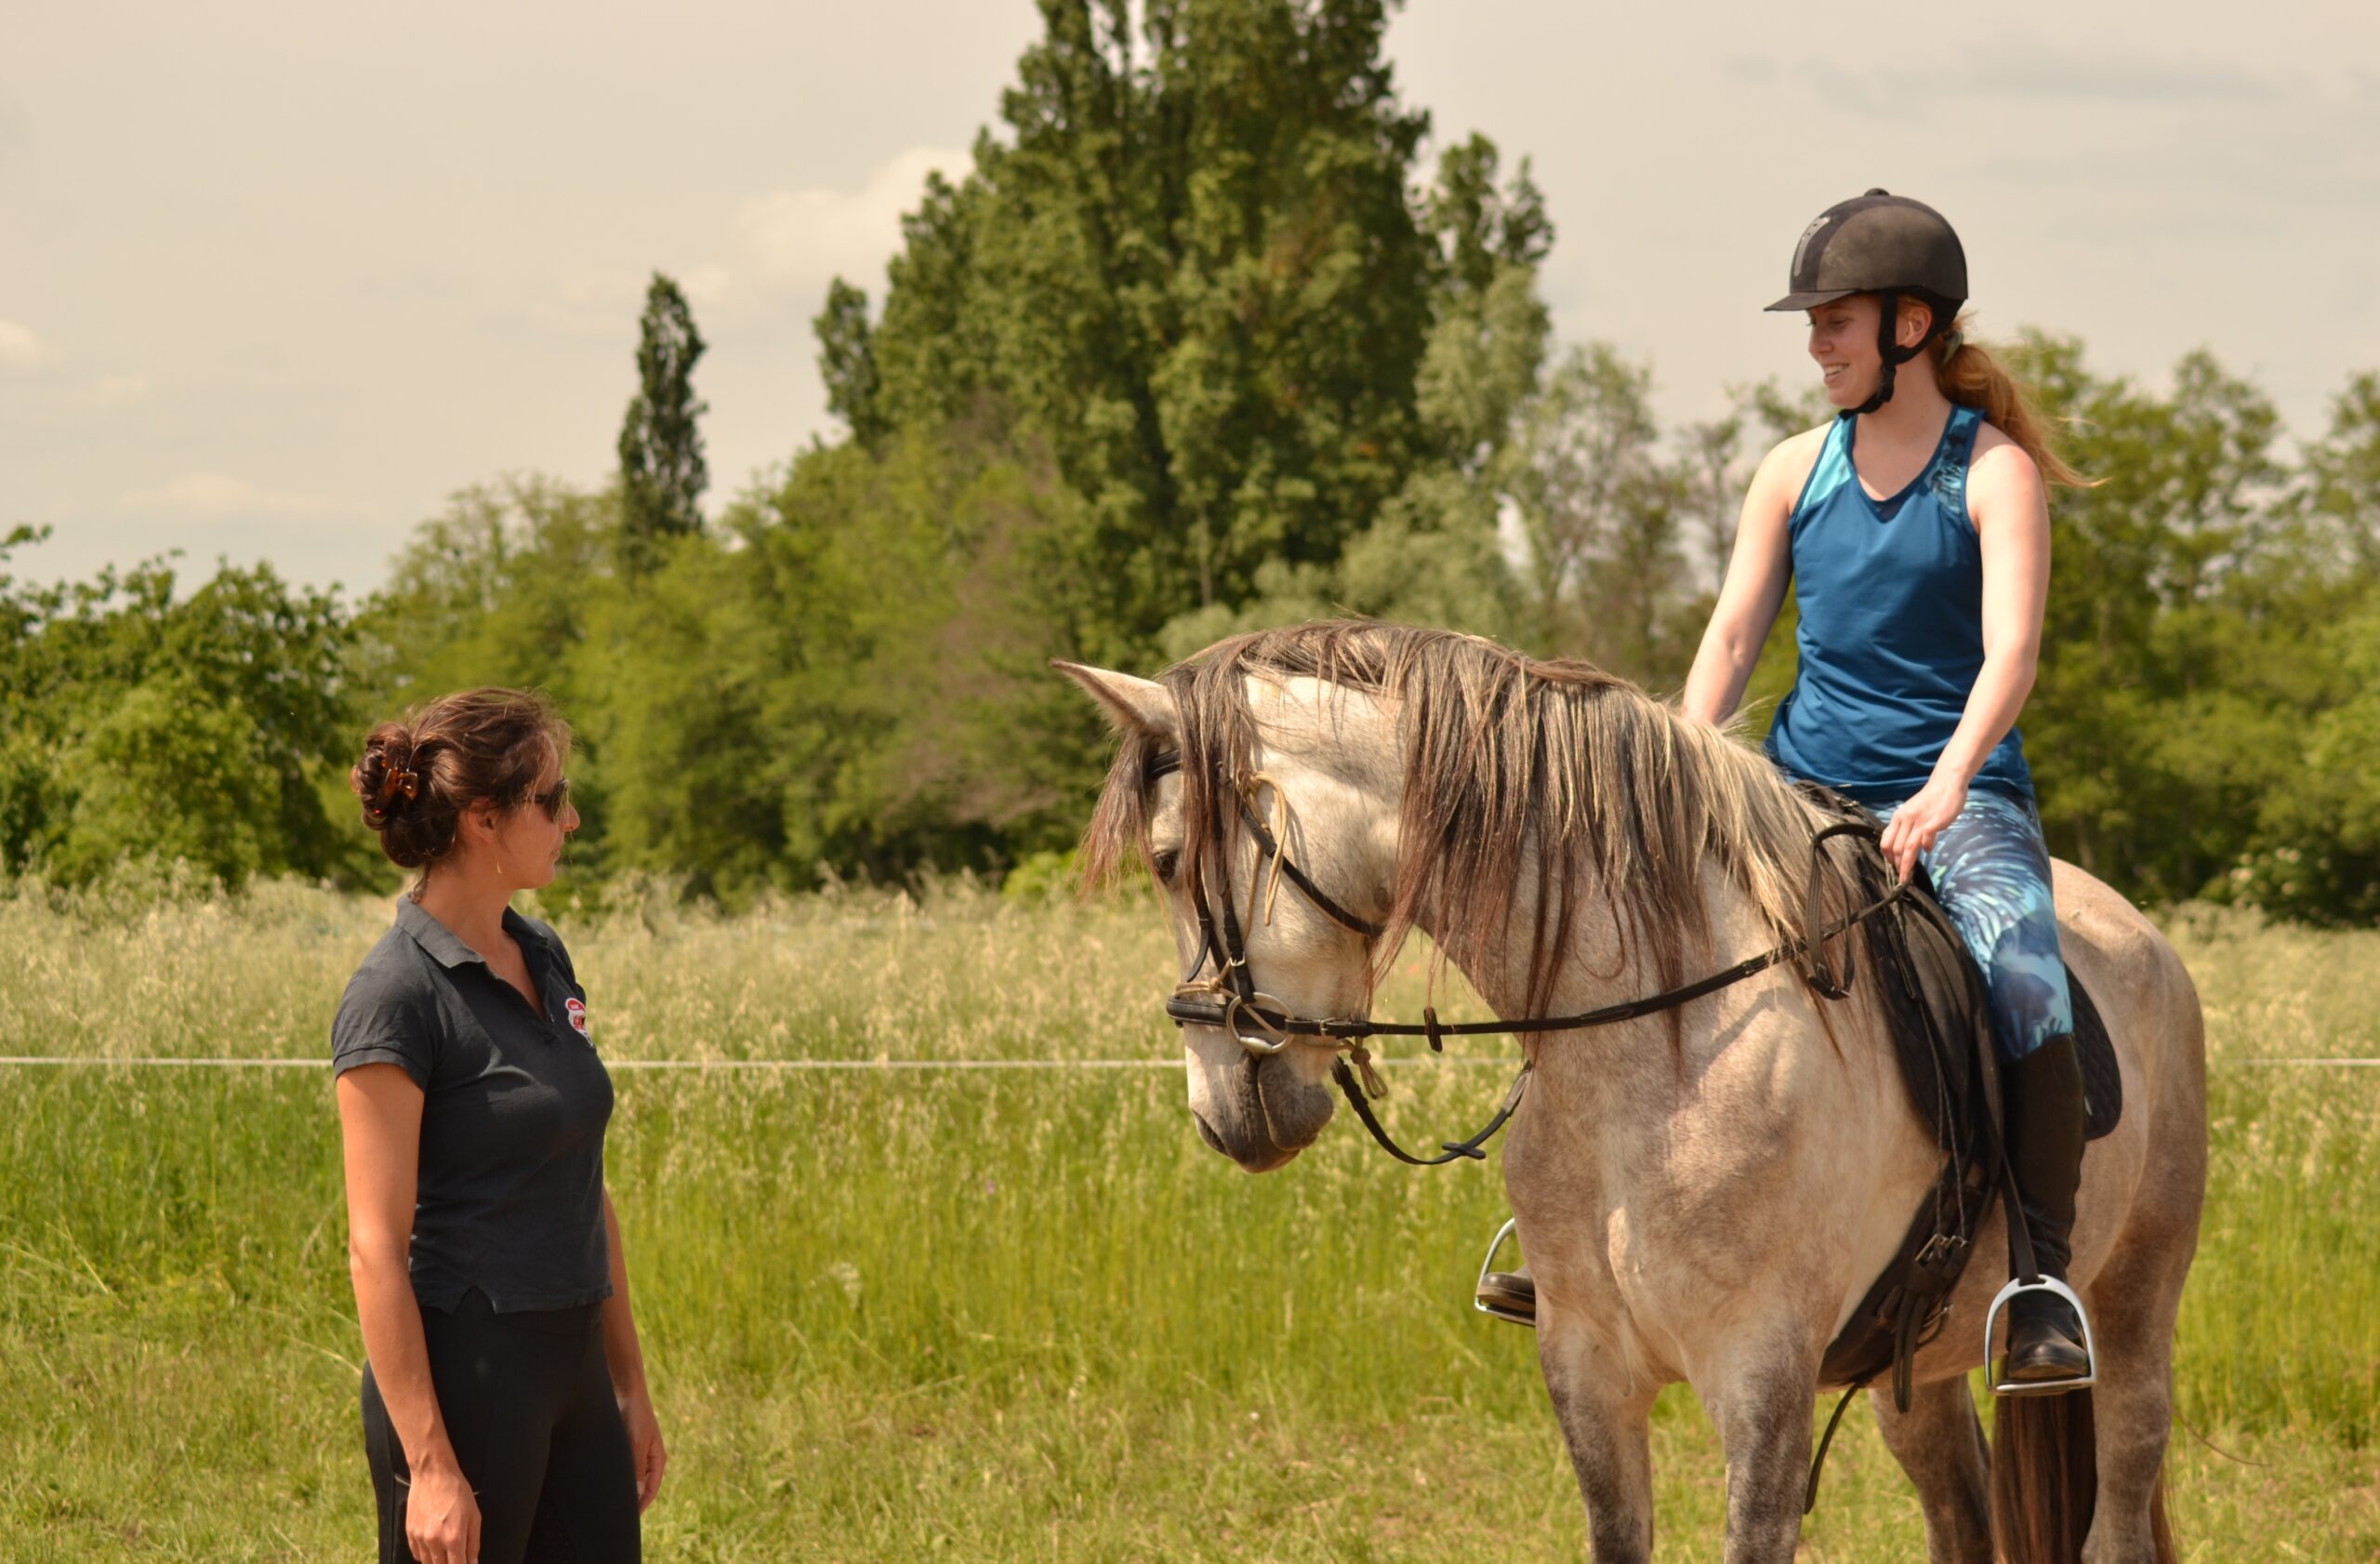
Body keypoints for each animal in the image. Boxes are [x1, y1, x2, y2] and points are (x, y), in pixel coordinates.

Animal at [1071, 623, 2199, 1561]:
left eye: (1165, 860)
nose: (1221, 1111)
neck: (1658, 1056)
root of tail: (2140, 936)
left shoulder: (1760, 1380)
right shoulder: (1588, 1370)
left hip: (2133, 1308)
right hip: (1911, 1370)